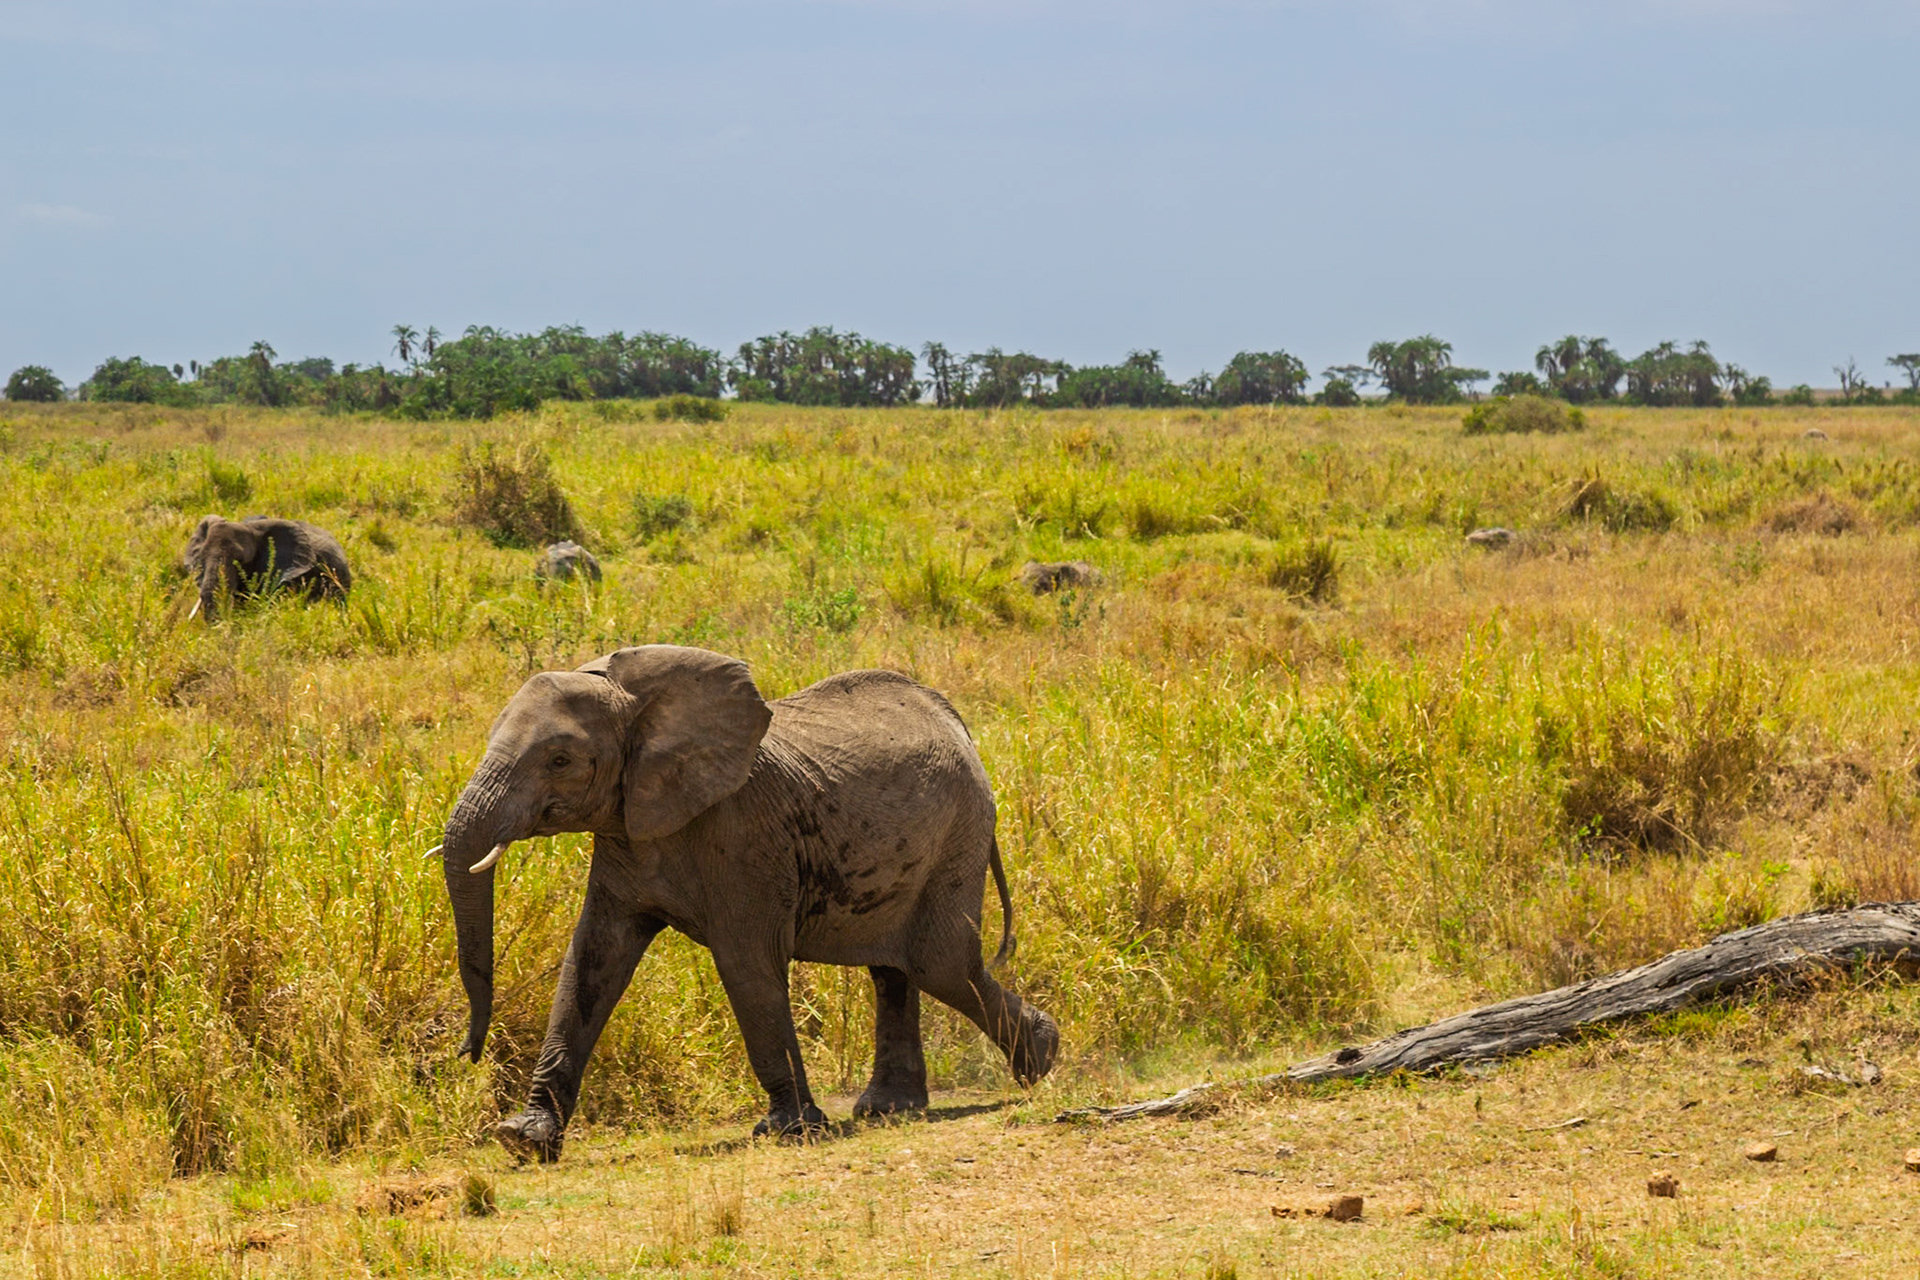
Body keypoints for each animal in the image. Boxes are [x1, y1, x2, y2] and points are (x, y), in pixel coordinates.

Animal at [430, 644, 1059, 1163]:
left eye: (560, 760)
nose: (466, 1052)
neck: (634, 702)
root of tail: (955, 721)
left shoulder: (743, 834)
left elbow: (745, 963)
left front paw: (788, 1130)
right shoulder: (626, 833)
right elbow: (590, 963)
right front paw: (524, 1138)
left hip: (960, 827)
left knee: (939, 961)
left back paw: (1042, 1059)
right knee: (894, 967)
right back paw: (890, 1108)